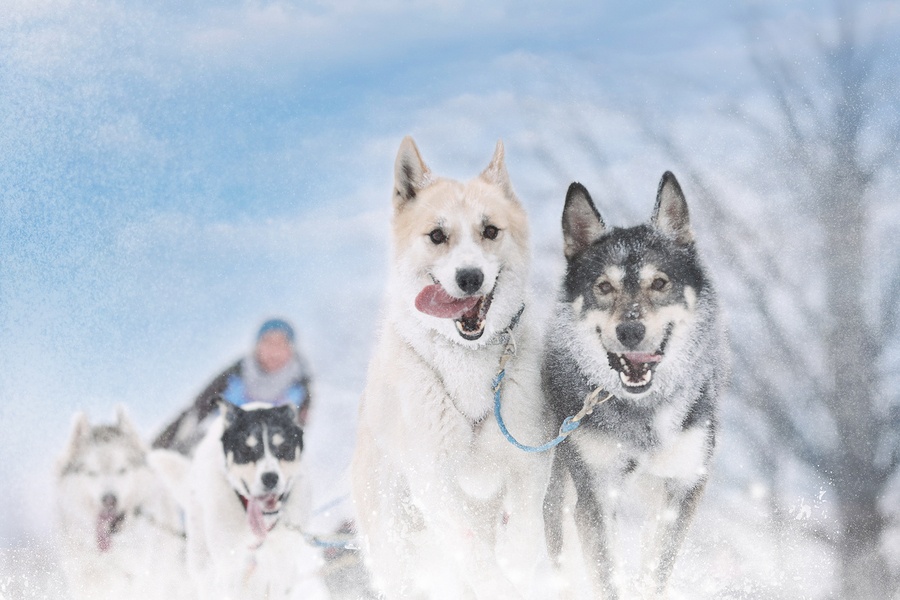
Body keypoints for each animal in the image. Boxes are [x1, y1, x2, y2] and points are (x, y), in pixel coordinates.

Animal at [149, 404, 328, 600]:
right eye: (246, 449)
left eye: (284, 446)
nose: (270, 478)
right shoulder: (230, 565)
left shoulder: (280, 563)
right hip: (202, 554)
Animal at [350, 137, 548, 600]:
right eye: (438, 236)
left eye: (489, 230)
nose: (470, 277)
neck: (466, 360)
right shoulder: (434, 483)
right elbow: (472, 551)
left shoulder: (529, 462)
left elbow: (525, 535)